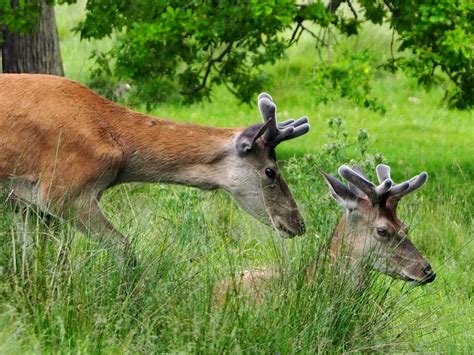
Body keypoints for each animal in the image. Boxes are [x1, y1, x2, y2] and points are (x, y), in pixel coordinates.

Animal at [0, 74, 310, 262]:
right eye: (271, 171)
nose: (298, 223)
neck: (118, 149)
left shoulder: (28, 206)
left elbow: (32, 261)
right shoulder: (62, 191)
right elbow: (124, 248)